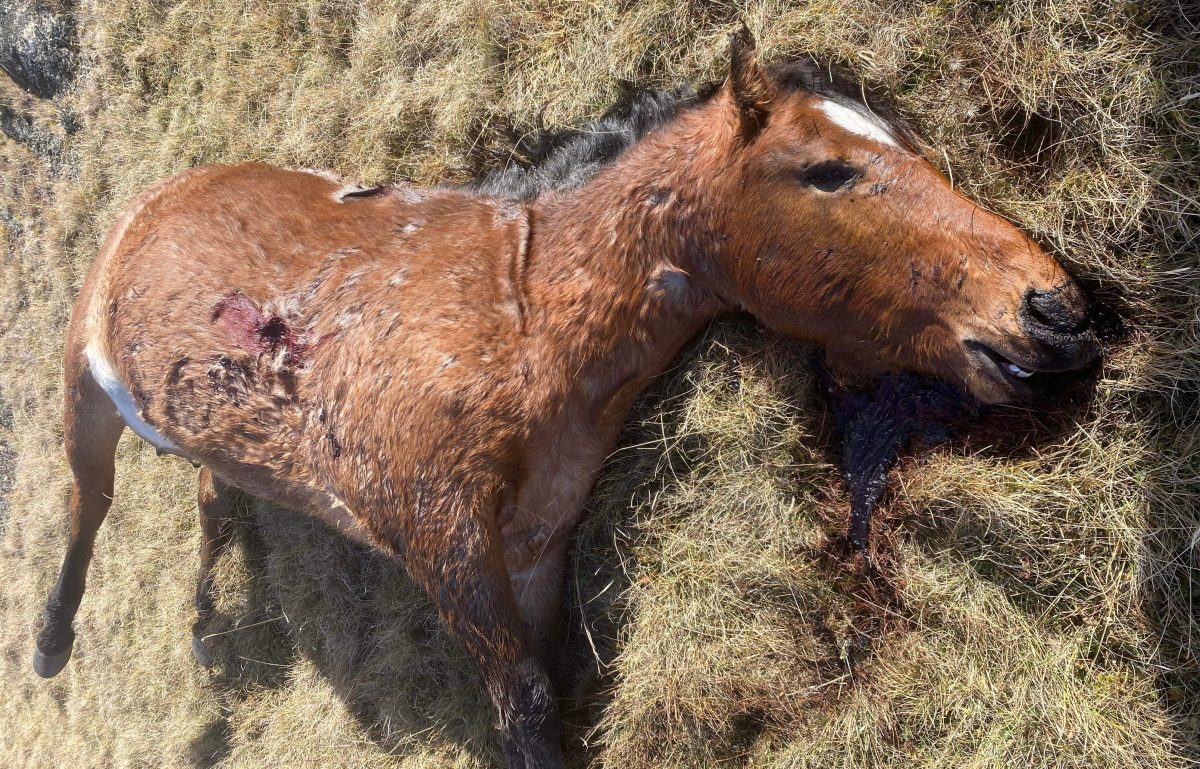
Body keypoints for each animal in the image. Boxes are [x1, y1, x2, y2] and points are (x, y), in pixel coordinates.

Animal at [32, 29, 1099, 767]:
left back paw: (202, 624)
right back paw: (50, 642)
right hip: (83, 385)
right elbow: (526, 710)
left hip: (204, 434)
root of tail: (159, 195)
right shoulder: (446, 541)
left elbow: (557, 682)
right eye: (827, 170)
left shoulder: (535, 547)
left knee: (212, 494)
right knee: (90, 501)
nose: (1053, 310)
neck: (518, 308)